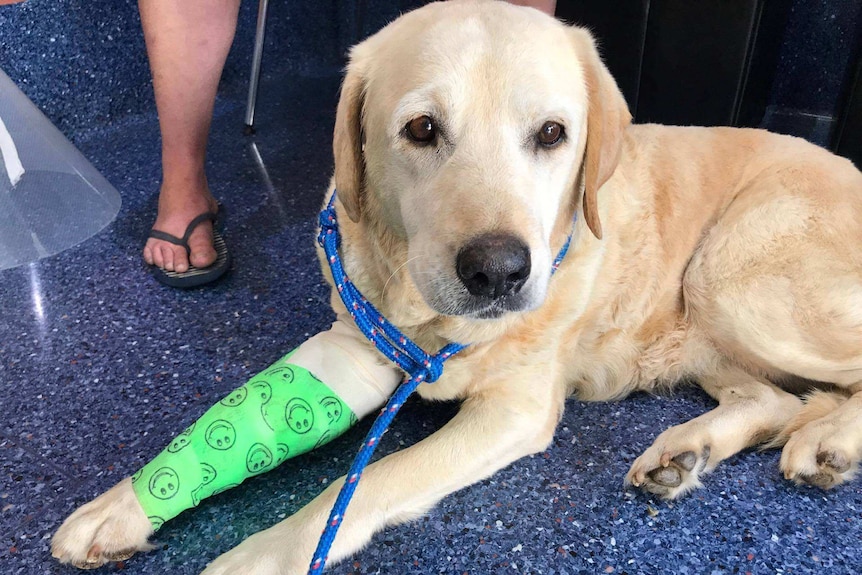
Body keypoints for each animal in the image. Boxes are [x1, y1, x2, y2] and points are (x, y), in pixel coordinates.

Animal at [50, 2, 860, 572]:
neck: (433, 321)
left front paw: (259, 553)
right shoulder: (353, 350)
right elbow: (228, 417)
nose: (499, 270)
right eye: (421, 128)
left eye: (551, 134)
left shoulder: (514, 410)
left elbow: (362, 485)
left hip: (735, 278)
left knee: (829, 386)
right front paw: (121, 506)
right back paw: (686, 452)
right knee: (773, 398)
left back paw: (828, 441)